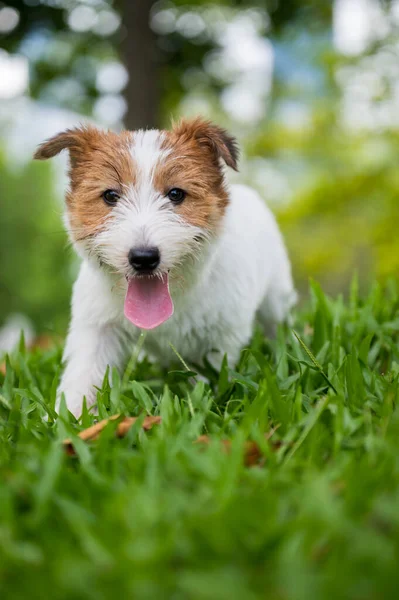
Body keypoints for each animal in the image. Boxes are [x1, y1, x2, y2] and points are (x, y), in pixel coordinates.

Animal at [34, 117, 296, 418]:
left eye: (176, 194)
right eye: (110, 195)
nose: (144, 257)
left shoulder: (220, 340)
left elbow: (209, 378)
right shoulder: (97, 329)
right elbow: (84, 374)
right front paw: (71, 416)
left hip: (277, 298)